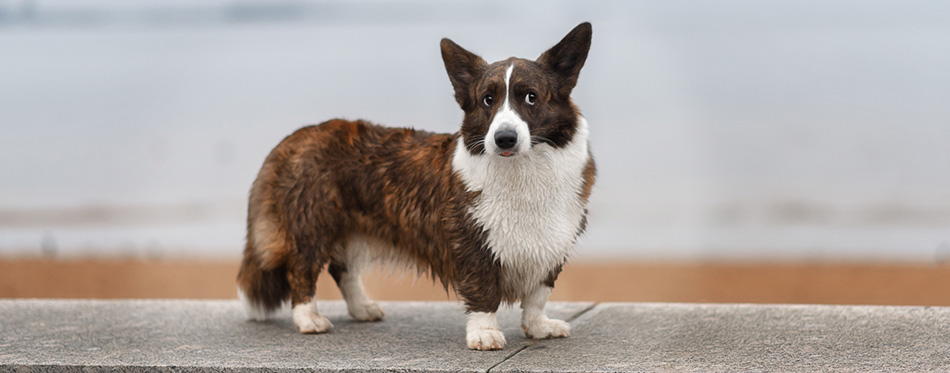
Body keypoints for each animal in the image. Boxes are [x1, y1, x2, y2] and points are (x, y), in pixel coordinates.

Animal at [238, 22, 596, 348]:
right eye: (487, 100)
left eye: (531, 98)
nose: (504, 138)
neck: (521, 170)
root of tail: (295, 138)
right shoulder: (472, 243)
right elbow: (483, 293)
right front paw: (484, 334)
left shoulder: (552, 249)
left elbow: (537, 297)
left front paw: (539, 327)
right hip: (312, 226)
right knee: (301, 271)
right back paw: (309, 319)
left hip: (351, 229)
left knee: (343, 270)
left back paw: (362, 308)